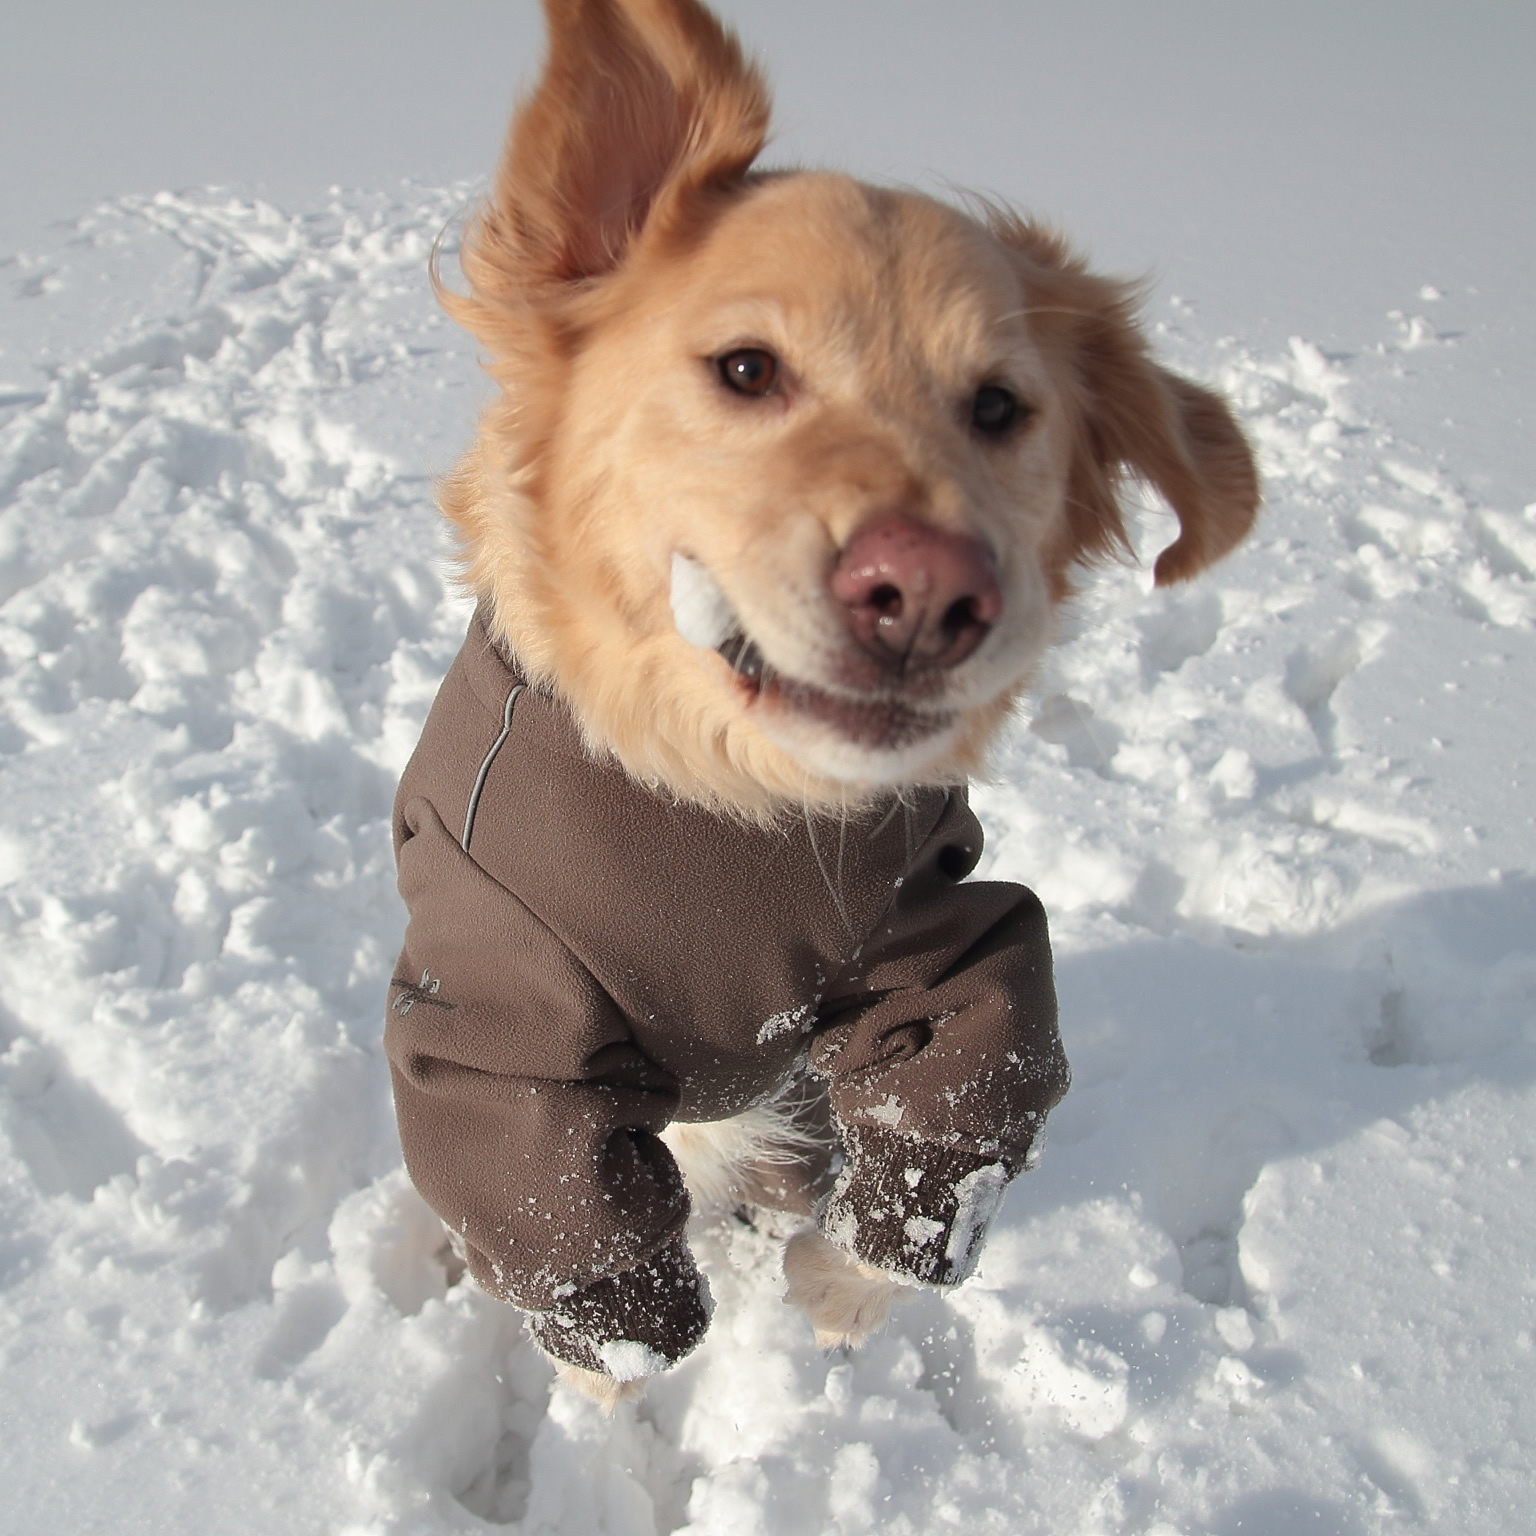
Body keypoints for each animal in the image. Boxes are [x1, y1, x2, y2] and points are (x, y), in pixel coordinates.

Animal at [380, 0, 1247, 1406]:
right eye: (746, 368)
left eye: (999, 408)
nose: (931, 590)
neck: (723, 810)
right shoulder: (501, 1001)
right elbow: (551, 1198)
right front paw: (612, 1372)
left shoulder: (939, 926)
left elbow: (962, 1075)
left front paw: (842, 1288)